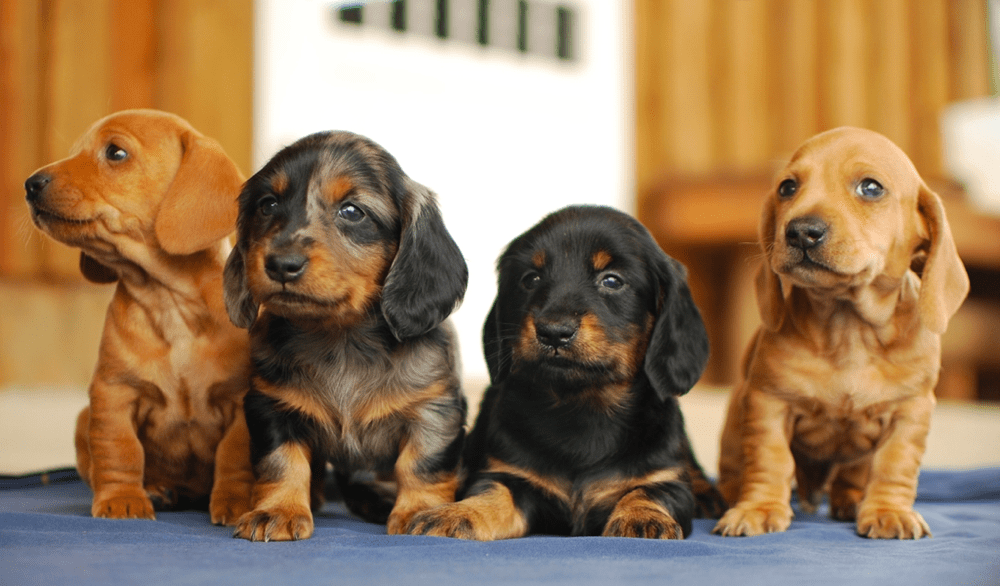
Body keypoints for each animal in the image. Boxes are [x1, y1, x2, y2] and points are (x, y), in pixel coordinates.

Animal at [26, 110, 256, 524]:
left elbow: (233, 457)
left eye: (115, 152)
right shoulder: (113, 394)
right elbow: (119, 451)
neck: (170, 303)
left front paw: (236, 502)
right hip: (82, 418)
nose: (29, 184)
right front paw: (122, 499)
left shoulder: (239, 400)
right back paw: (157, 489)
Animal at [223, 128, 468, 540]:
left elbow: (422, 465)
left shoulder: (434, 409)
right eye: (268, 205)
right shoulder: (271, 406)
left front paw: (419, 511)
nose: (281, 264)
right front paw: (277, 511)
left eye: (352, 211)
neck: (341, 339)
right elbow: (282, 463)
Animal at [406, 205, 728, 540]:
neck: (581, 407)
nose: (553, 332)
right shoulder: (508, 475)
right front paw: (457, 513)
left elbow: (646, 492)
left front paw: (642, 518)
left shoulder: (666, 481)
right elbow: (491, 494)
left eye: (612, 281)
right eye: (531, 279)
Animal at [716, 128, 972, 540]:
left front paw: (888, 511)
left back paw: (851, 500)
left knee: (852, 477)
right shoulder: (768, 403)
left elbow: (894, 465)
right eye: (787, 187)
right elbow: (770, 460)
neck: (849, 331)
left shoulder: (910, 413)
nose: (801, 231)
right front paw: (758, 508)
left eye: (870, 187)